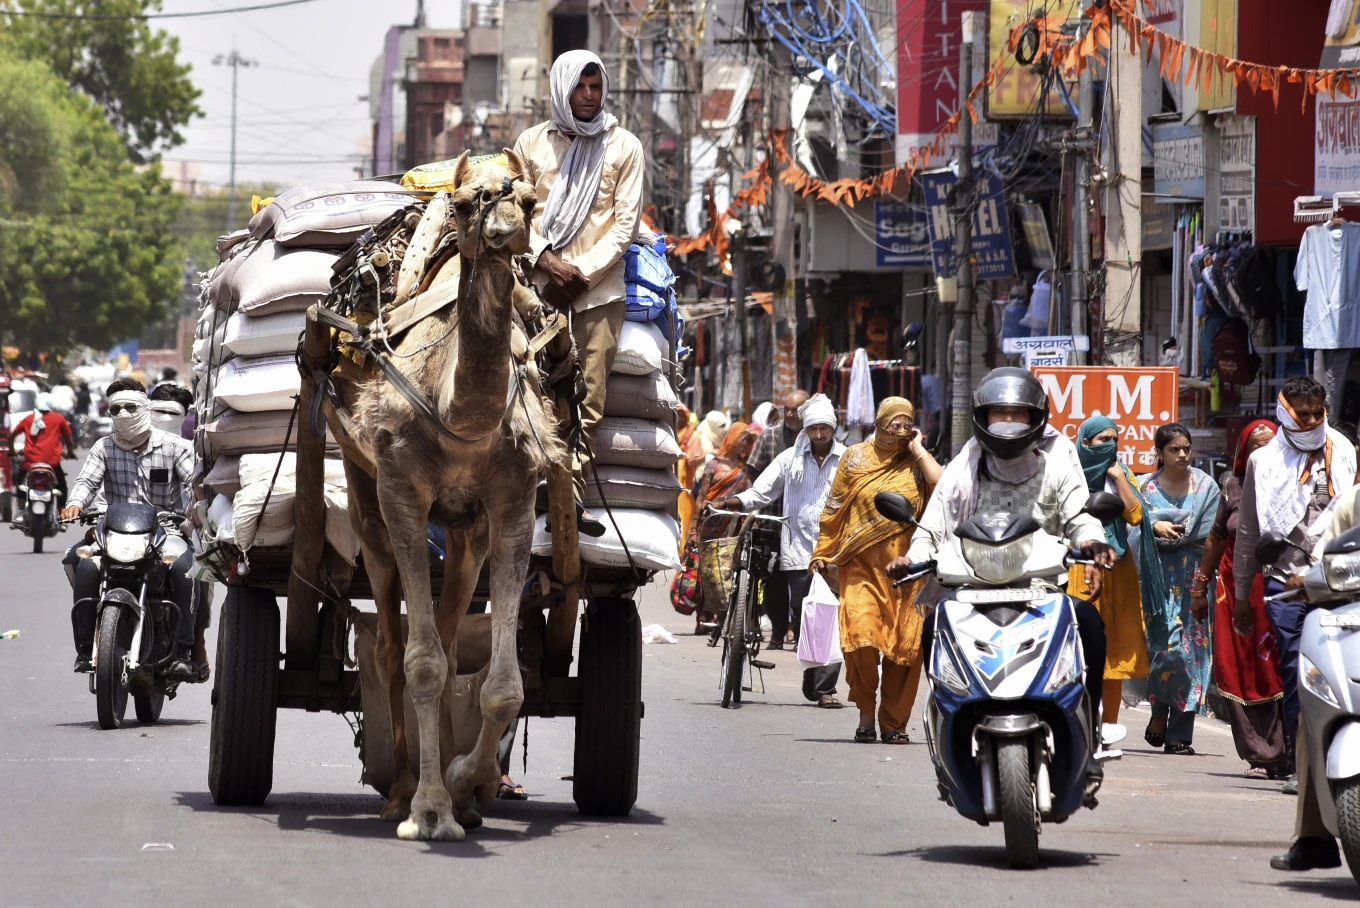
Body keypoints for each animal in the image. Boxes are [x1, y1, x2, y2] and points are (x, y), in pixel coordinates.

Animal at [342, 152, 560, 842]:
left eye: (531, 199)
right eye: (465, 203)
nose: (506, 231)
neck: (457, 417)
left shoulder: (513, 503)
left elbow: (503, 685)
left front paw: (465, 784)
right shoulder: (403, 495)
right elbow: (423, 665)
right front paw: (429, 811)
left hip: (467, 534)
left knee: (442, 622)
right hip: (364, 492)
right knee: (393, 645)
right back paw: (398, 792)